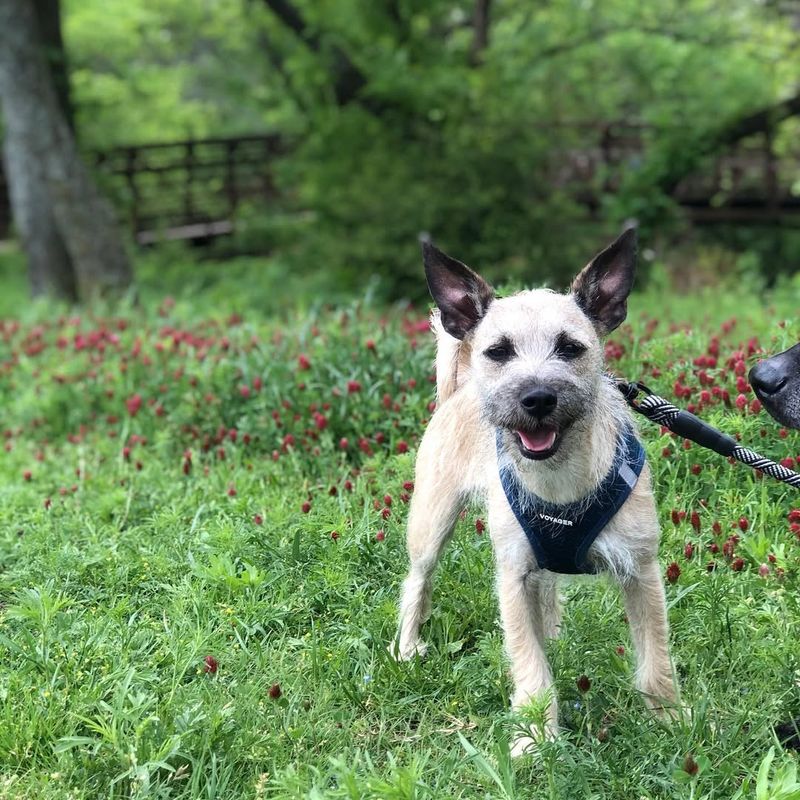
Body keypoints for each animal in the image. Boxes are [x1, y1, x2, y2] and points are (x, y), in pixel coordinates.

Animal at [390, 228, 680, 752]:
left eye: (570, 348)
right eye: (499, 351)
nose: (537, 398)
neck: (562, 481)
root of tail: (460, 388)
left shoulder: (641, 572)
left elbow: (656, 659)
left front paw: (672, 722)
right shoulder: (512, 578)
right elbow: (530, 665)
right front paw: (535, 741)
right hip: (430, 526)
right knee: (416, 584)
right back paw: (407, 648)